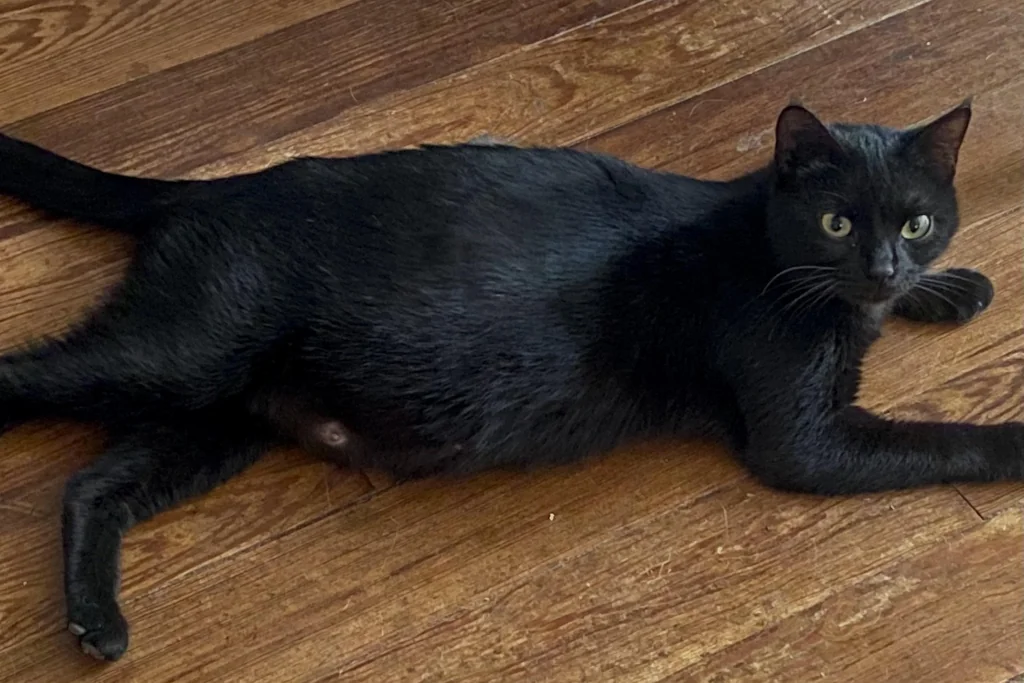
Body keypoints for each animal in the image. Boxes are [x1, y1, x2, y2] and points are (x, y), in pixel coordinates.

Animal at [0, 101, 1011, 663]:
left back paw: (97, 622)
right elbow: (937, 436)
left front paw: (954, 289)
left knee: (91, 483)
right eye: (838, 222)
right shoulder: (804, 440)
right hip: (177, 356)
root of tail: (207, 188)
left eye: (917, 222)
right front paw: (1016, 440)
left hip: (220, 421)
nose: (884, 267)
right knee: (28, 380)